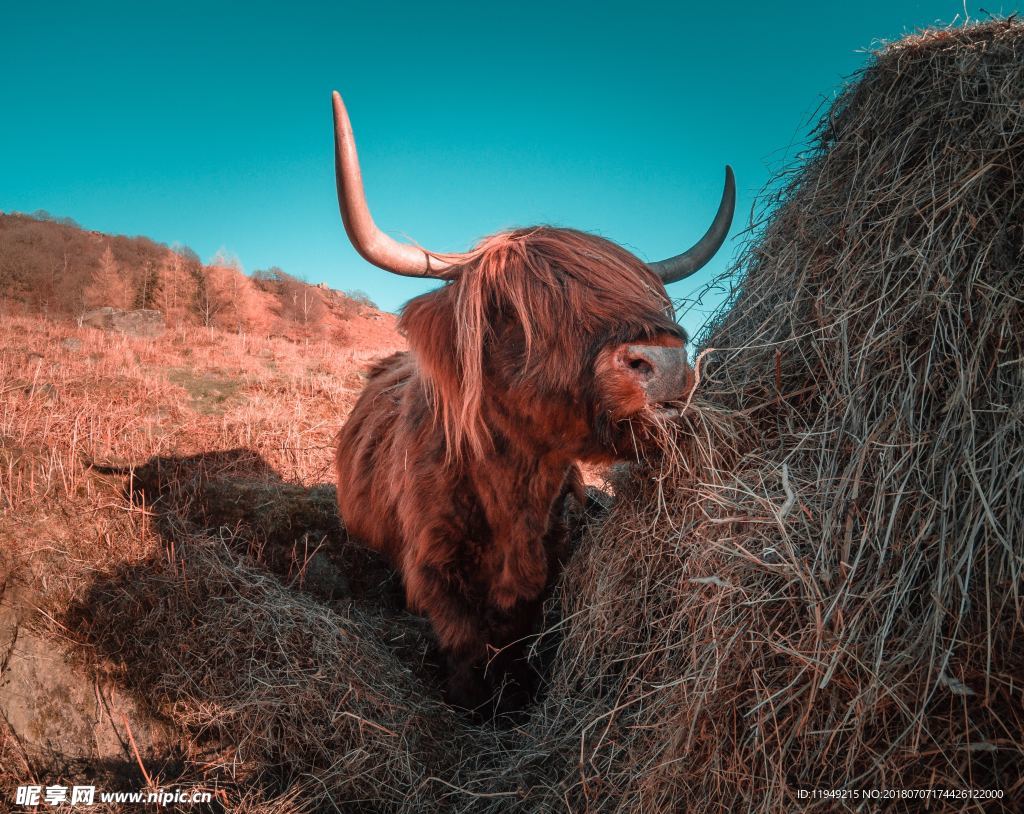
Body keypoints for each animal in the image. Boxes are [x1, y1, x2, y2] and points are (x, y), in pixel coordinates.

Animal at [331, 92, 733, 708]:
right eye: (515, 312)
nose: (663, 364)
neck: (514, 490)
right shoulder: (435, 578)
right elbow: (465, 656)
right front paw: (476, 707)